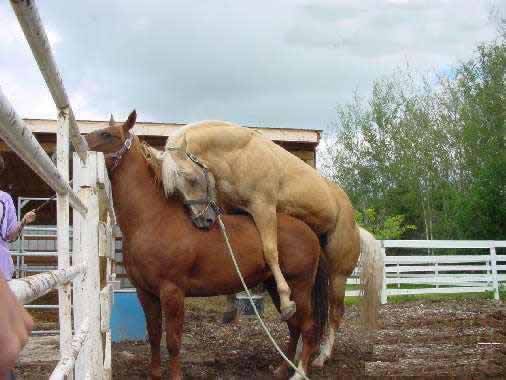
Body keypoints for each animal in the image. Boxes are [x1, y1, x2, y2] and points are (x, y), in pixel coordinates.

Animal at [85, 110, 330, 380]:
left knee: (308, 326)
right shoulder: (145, 292)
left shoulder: (172, 291)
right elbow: (154, 334)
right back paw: (282, 369)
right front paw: (155, 373)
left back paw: (299, 372)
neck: (153, 219)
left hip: (299, 287)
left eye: (107, 135)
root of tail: (310, 231)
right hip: (275, 288)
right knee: (294, 325)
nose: (83, 143)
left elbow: (173, 340)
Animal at [160, 118, 382, 366]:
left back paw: (322, 356)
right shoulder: (235, 210)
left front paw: (285, 303)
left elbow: (270, 251)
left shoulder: (264, 209)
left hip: (338, 276)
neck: (241, 154)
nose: (202, 220)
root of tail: (355, 226)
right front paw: (230, 307)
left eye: (190, 178)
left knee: (335, 313)